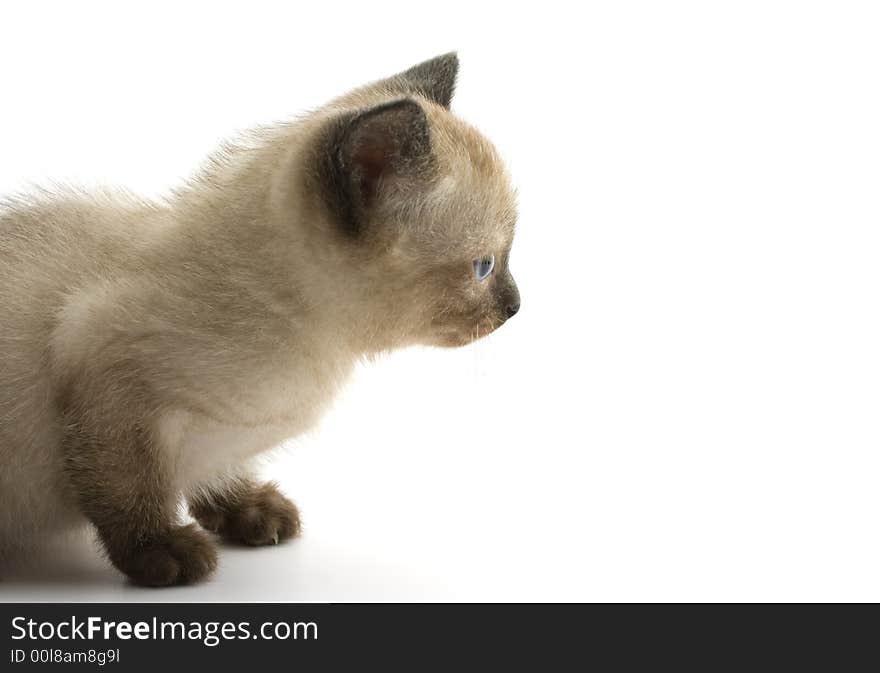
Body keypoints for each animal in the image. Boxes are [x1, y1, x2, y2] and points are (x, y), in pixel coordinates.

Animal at [0, 53, 520, 584]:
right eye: (484, 267)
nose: (515, 306)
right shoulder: (105, 379)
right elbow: (129, 490)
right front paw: (161, 551)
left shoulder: (213, 431)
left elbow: (220, 470)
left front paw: (249, 511)